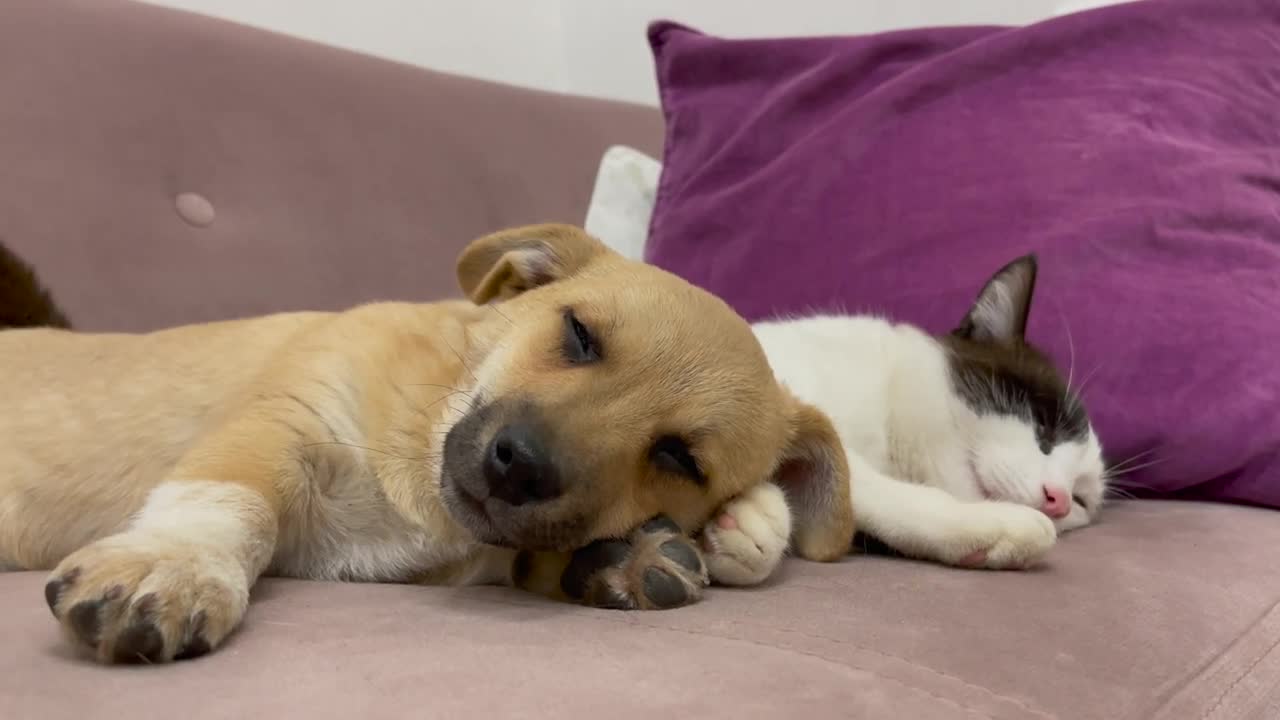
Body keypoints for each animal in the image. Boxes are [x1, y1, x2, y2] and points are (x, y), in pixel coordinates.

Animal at [2, 224, 860, 661]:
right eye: (580, 335)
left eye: (681, 457)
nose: (519, 469)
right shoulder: (285, 422)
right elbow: (228, 501)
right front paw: (174, 565)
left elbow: (531, 555)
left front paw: (628, 556)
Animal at [696, 253, 1105, 584]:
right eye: (1043, 429)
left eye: (1081, 501)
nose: (1058, 501)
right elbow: (854, 475)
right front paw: (989, 522)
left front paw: (739, 525)